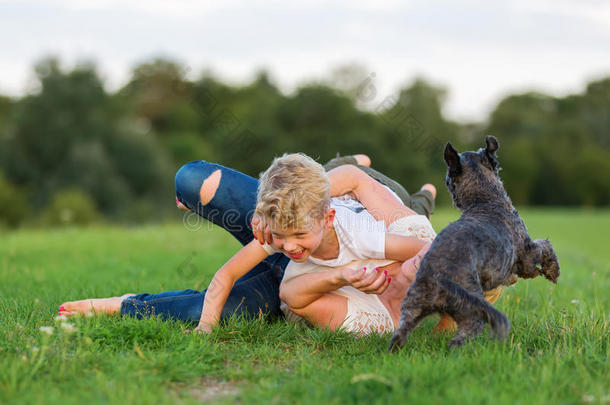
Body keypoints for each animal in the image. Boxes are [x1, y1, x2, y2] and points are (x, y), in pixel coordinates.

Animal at [388, 137, 560, 350]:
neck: (485, 202)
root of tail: (439, 277)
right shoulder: (527, 255)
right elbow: (545, 247)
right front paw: (552, 272)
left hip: (413, 305)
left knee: (400, 335)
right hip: (470, 308)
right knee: (466, 333)